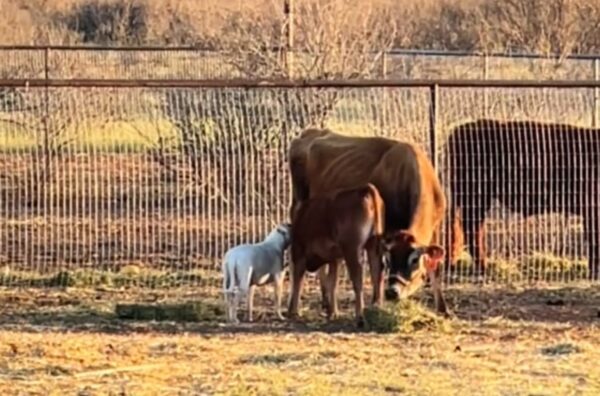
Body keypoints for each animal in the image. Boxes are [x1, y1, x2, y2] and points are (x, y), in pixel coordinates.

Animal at [288, 182, 386, 324]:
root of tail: (364, 189)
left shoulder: (299, 251)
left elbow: (298, 280)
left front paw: (294, 311)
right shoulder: (335, 258)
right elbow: (333, 282)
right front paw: (333, 313)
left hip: (353, 250)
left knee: (358, 281)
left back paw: (360, 317)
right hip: (373, 247)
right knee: (377, 274)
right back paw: (377, 309)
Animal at [446, 119, 600, 280]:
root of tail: (459, 130)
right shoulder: (592, 208)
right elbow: (595, 238)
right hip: (476, 196)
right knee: (472, 228)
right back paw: (483, 268)